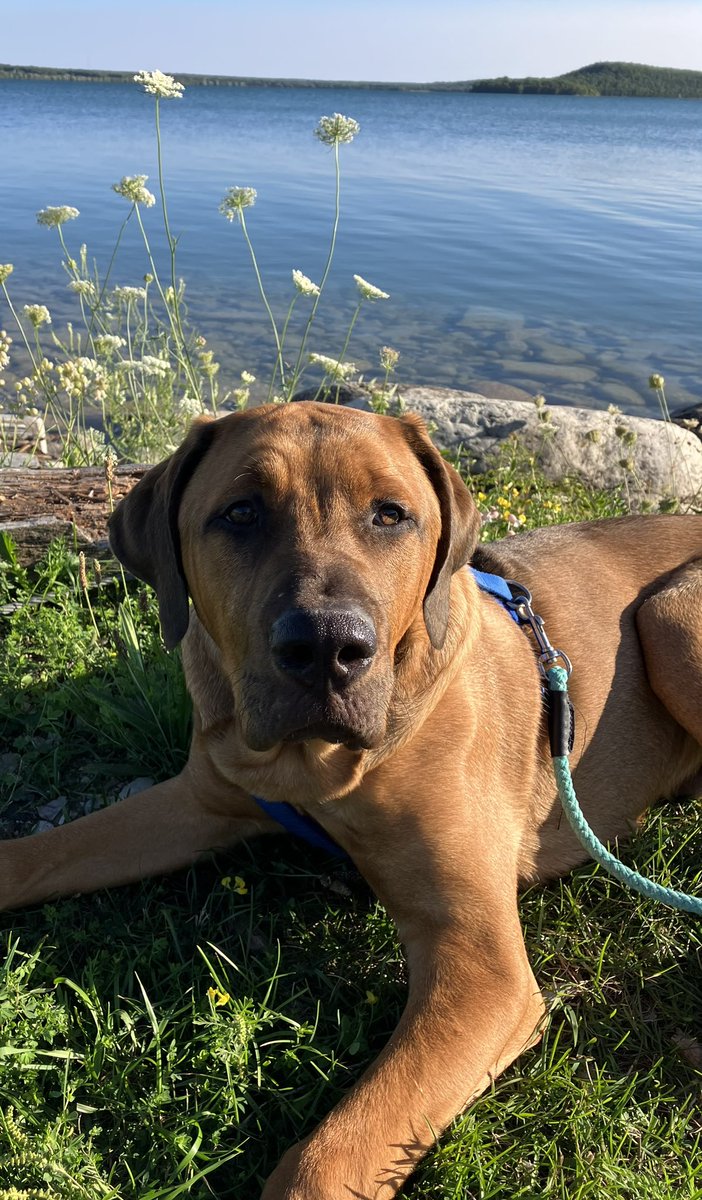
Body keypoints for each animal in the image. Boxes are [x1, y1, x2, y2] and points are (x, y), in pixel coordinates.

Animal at [1, 405, 700, 1200]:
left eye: (390, 514)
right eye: (240, 513)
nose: (327, 649)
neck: (318, 768)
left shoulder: (481, 965)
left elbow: (326, 1160)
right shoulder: (199, 798)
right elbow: (44, 852)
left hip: (671, 616)